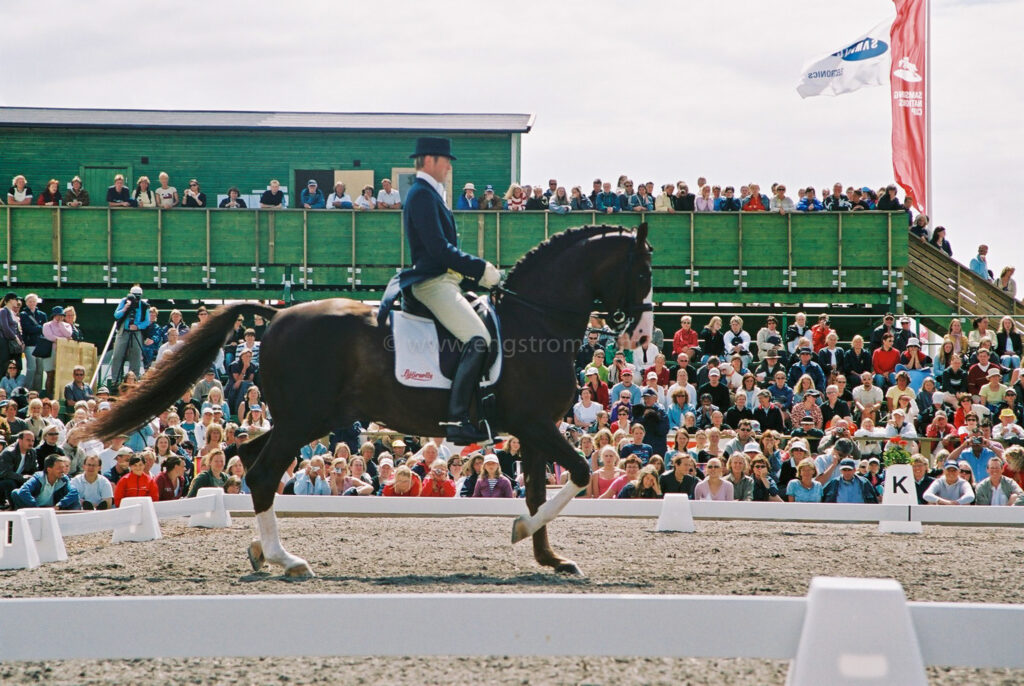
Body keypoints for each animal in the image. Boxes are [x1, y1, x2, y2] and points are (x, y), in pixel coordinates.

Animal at [83, 224, 651, 573]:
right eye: (644, 269)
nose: (643, 333)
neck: (534, 321)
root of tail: (278, 315)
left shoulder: (534, 431)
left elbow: (537, 491)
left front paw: (550, 558)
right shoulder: (537, 426)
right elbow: (577, 474)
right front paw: (519, 532)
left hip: (309, 419)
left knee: (249, 458)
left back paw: (261, 550)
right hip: (305, 420)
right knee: (264, 473)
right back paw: (287, 560)